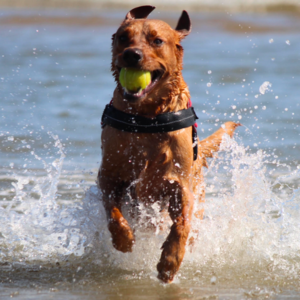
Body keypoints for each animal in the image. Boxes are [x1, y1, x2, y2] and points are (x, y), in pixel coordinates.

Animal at [98, 7, 239, 284]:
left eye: (157, 41)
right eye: (123, 37)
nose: (131, 54)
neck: (146, 118)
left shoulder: (179, 183)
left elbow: (182, 223)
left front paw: (170, 261)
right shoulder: (108, 174)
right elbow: (113, 211)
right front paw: (123, 238)